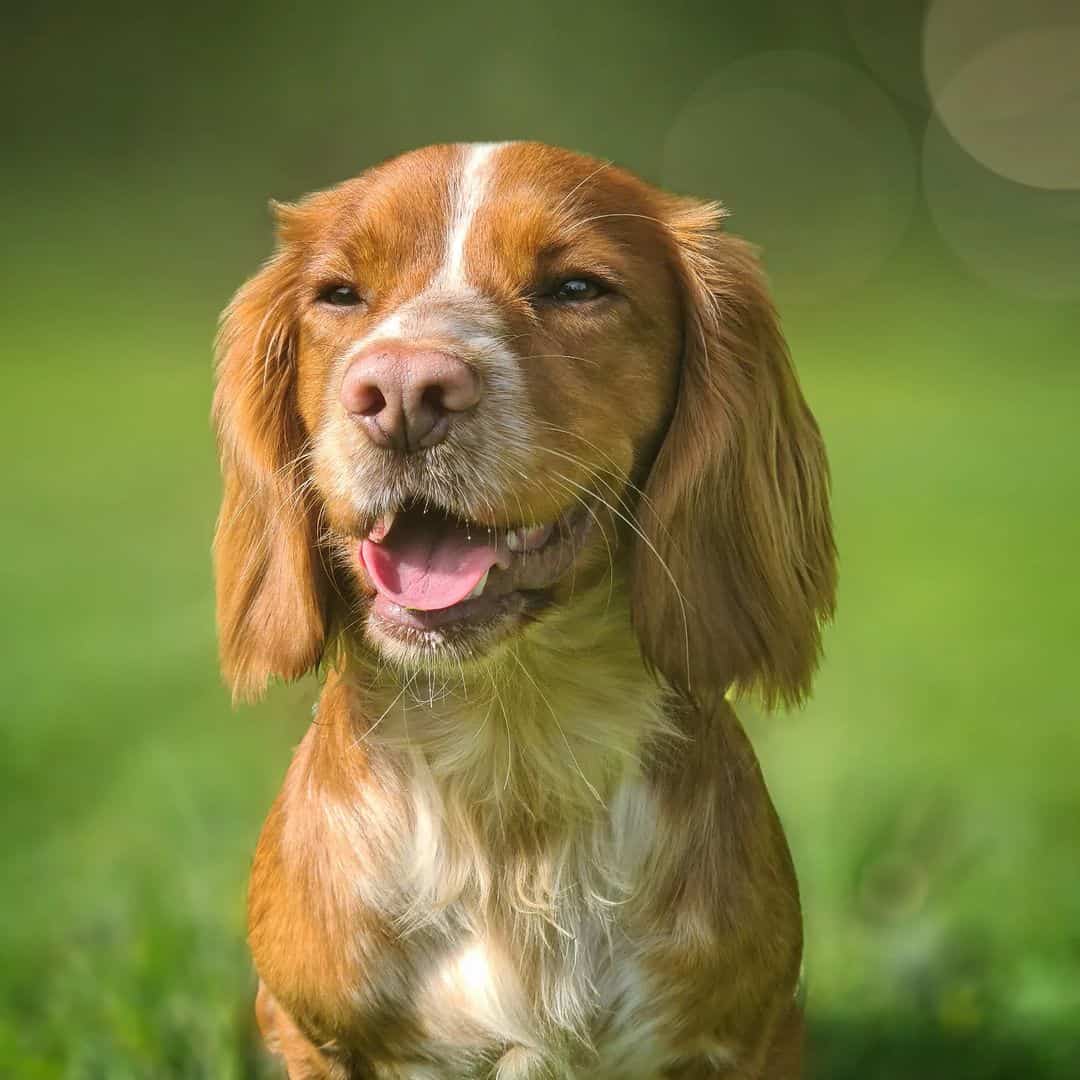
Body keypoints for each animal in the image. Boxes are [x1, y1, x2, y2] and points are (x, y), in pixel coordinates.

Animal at [210, 143, 833, 1080]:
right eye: (340, 294)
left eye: (576, 288)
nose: (403, 390)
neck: (512, 760)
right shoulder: (309, 1030)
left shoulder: (750, 1032)